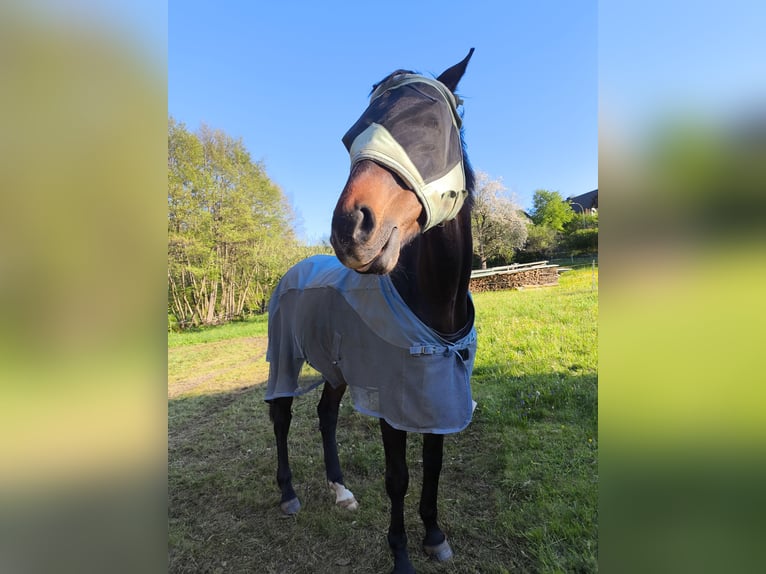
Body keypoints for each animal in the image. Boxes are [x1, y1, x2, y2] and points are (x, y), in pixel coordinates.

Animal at [265, 48, 476, 574]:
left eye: (432, 123)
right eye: (350, 137)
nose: (350, 228)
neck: (434, 305)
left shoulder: (437, 393)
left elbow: (434, 463)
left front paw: (435, 535)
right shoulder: (392, 402)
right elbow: (397, 476)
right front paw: (401, 555)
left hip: (337, 369)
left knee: (324, 414)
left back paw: (340, 490)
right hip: (284, 357)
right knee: (281, 415)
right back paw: (289, 494)